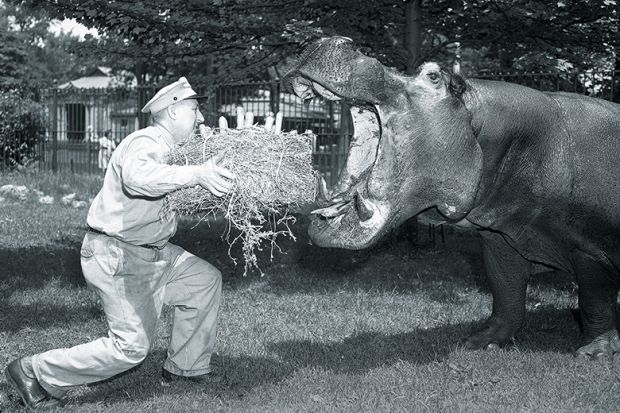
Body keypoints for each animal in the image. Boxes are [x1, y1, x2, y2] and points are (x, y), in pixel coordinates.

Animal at [284, 36, 620, 358]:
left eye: (433, 76)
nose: (337, 40)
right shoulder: (499, 240)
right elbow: (506, 292)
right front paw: (479, 342)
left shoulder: (590, 250)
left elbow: (594, 301)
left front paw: (594, 352)